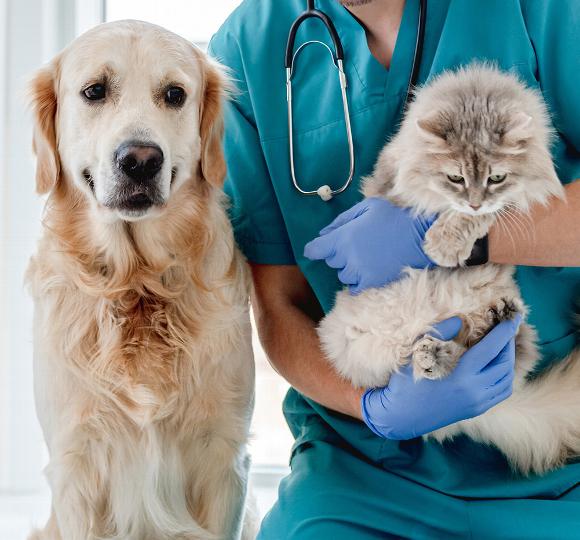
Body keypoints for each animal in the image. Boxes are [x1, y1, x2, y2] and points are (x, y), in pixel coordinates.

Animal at [24, 21, 256, 540]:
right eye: (94, 91)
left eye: (174, 94)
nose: (141, 159)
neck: (138, 284)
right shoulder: (76, 463)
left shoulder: (223, 459)